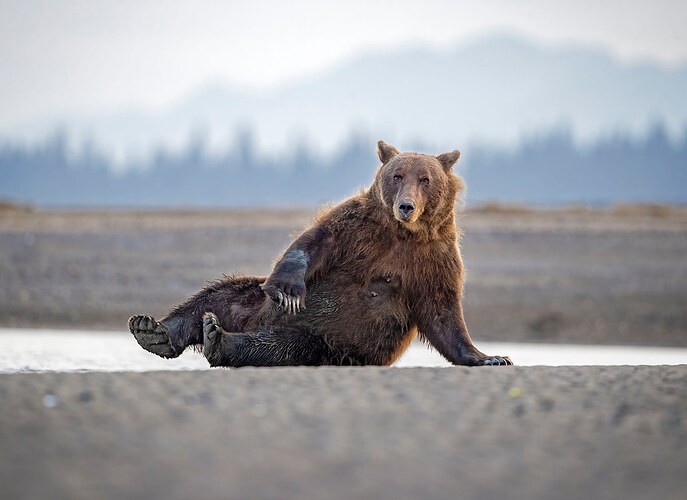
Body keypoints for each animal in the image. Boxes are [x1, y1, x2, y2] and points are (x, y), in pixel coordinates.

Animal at [128, 141, 512, 367]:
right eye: (397, 175)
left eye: (425, 179)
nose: (406, 206)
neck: (402, 233)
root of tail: (252, 322)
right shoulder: (358, 228)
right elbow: (312, 243)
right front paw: (289, 290)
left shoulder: (435, 258)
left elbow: (443, 313)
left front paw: (489, 357)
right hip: (255, 301)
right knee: (216, 295)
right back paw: (154, 330)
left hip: (327, 343)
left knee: (277, 347)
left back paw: (219, 340)